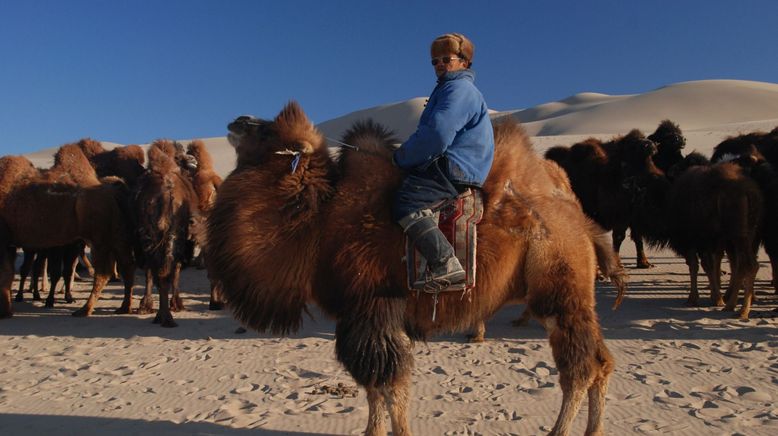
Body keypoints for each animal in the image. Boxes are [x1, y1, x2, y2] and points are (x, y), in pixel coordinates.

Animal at [206, 103, 620, 436]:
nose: (238, 120)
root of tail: (575, 214)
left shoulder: (372, 310)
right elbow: (381, 388)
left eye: (268, 131)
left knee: (580, 370)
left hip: (559, 292)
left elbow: (388, 386)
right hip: (573, 299)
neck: (319, 222)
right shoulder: (367, 318)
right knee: (602, 362)